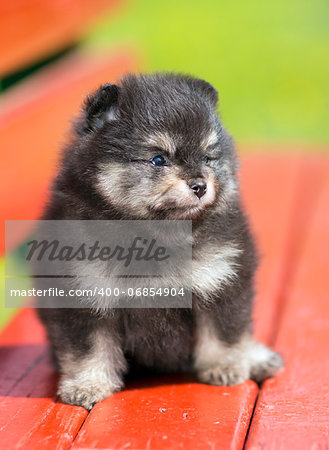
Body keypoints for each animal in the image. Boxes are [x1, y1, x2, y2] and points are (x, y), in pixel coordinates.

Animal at [36, 73, 282, 412]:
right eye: (157, 159)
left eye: (207, 157)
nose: (200, 185)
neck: (155, 236)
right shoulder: (81, 292)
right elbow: (87, 348)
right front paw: (88, 385)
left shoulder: (221, 280)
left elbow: (224, 332)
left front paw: (225, 366)